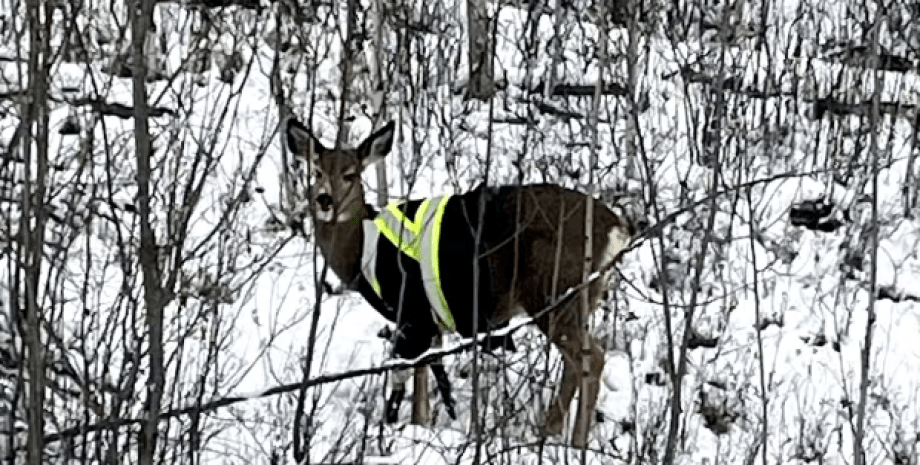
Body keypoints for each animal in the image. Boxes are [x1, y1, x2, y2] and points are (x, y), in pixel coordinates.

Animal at [284, 115, 644, 446]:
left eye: (351, 175)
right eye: (316, 171)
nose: (325, 200)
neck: (361, 249)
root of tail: (616, 229)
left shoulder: (410, 309)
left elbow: (413, 371)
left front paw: (412, 426)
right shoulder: (428, 319)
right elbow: (427, 372)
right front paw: (423, 424)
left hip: (555, 292)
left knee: (591, 357)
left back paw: (572, 440)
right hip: (575, 297)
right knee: (580, 360)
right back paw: (551, 431)